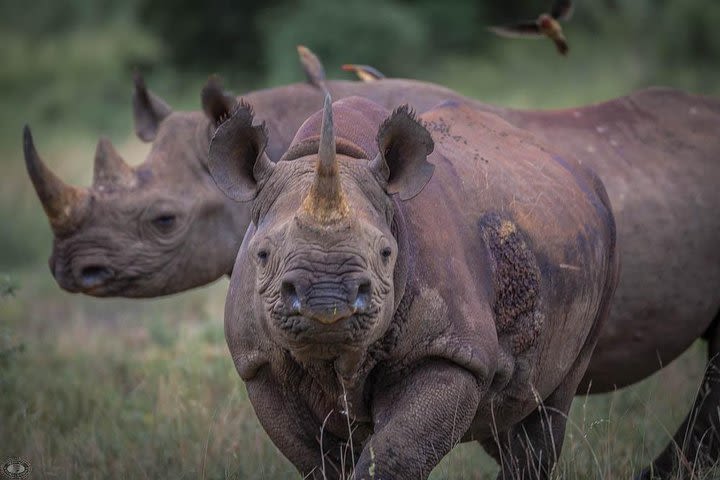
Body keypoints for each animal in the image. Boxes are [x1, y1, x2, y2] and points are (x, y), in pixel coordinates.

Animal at [210, 95, 620, 478]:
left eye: (386, 252)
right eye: (262, 254)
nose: (327, 303)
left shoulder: (450, 351)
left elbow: (394, 455)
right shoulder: (259, 365)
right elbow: (320, 461)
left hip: (607, 238)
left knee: (547, 411)